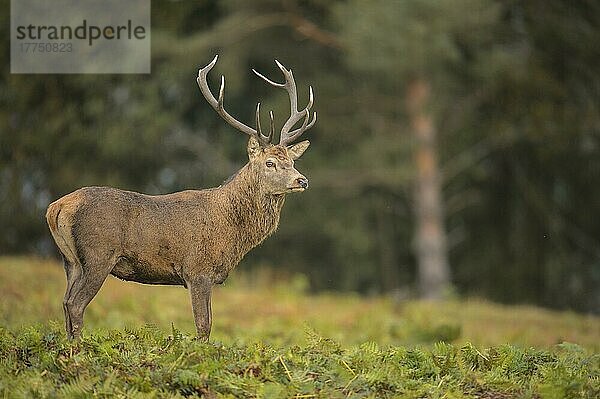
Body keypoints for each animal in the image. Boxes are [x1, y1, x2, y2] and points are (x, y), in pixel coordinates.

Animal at [44, 54, 316, 340]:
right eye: (270, 163)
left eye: (292, 161)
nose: (302, 180)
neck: (232, 233)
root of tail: (55, 207)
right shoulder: (197, 269)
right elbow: (203, 326)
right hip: (98, 254)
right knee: (75, 304)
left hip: (70, 261)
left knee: (65, 301)